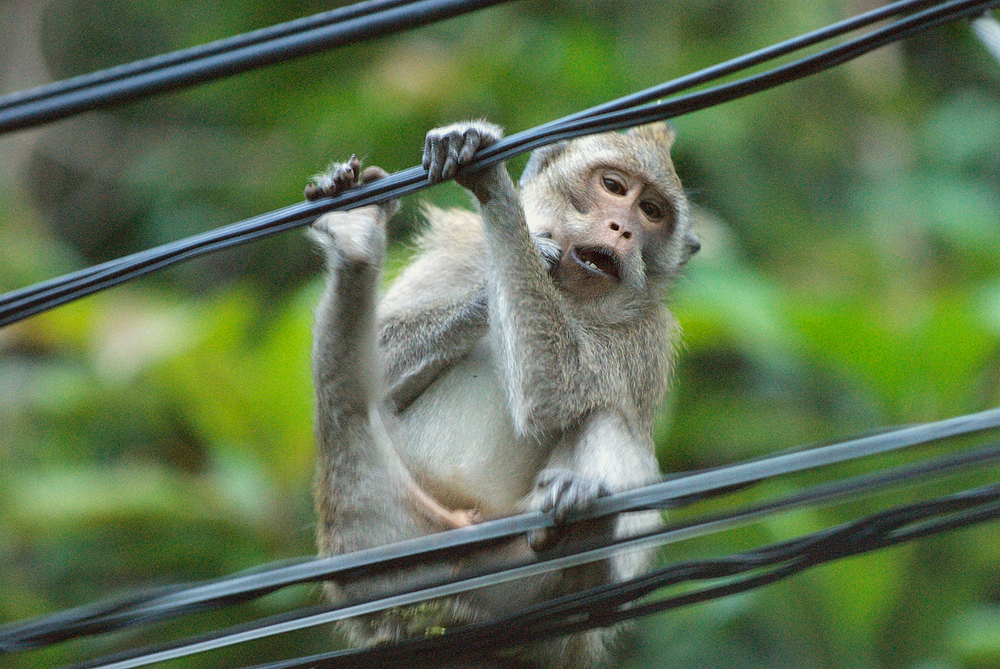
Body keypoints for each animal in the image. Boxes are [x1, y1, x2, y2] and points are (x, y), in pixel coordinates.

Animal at [308, 121, 700, 668]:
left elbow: (552, 390)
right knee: (348, 401)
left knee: (603, 416)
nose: (621, 228)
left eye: (652, 212)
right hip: (366, 541)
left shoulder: (644, 336)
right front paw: (516, 256)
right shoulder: (461, 248)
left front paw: (494, 185)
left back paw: (584, 549)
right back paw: (355, 244)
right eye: (613, 187)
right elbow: (383, 356)